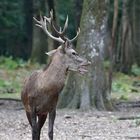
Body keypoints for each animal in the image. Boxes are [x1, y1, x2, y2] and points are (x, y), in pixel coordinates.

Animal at [20, 10, 91, 140]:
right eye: (74, 53)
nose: (88, 61)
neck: (45, 90)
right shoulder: (32, 107)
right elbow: (34, 131)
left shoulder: (52, 108)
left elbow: (50, 132)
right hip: (26, 108)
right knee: (35, 130)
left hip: (42, 114)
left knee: (39, 129)